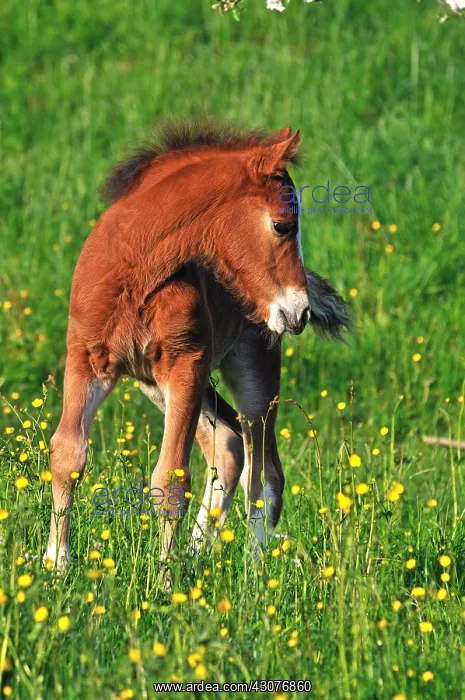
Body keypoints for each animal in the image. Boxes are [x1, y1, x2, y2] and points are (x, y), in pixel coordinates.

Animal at [45, 120, 351, 572]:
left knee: (264, 469)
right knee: (228, 446)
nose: (300, 312)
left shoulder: (185, 363)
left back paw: (253, 569)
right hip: (161, 384)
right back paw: (198, 553)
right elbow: (67, 456)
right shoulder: (87, 361)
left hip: (252, 368)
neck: (136, 271)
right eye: (283, 225)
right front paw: (55, 567)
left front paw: (164, 578)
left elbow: (172, 478)